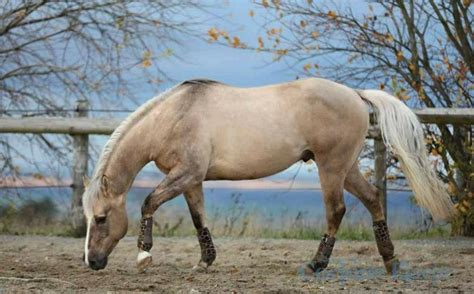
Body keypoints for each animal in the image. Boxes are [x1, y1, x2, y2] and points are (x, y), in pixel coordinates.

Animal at [81, 77, 456, 274]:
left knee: (336, 211)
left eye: (101, 218)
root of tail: (354, 94)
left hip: (330, 168)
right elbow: (199, 219)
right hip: (346, 168)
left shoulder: (185, 174)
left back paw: (316, 264)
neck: (175, 116)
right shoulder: (190, 180)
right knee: (373, 200)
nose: (93, 262)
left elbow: (148, 202)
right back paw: (390, 260)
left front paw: (144, 255)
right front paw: (205, 261)